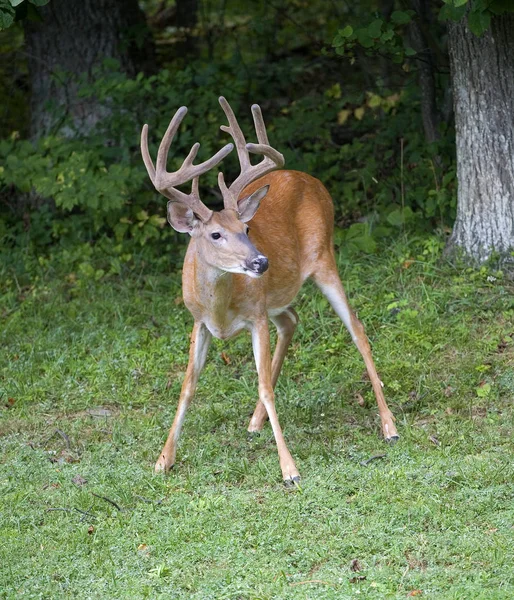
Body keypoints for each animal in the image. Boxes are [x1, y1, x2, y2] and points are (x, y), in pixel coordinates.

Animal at [140, 97, 396, 482]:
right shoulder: (198, 321)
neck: (220, 308)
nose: (261, 262)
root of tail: (312, 180)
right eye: (216, 234)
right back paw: (254, 421)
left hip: (324, 259)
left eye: (247, 229)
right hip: (277, 297)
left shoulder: (256, 316)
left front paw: (289, 469)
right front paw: (162, 459)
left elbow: (262, 383)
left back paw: (389, 426)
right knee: (292, 319)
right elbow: (187, 387)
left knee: (357, 330)